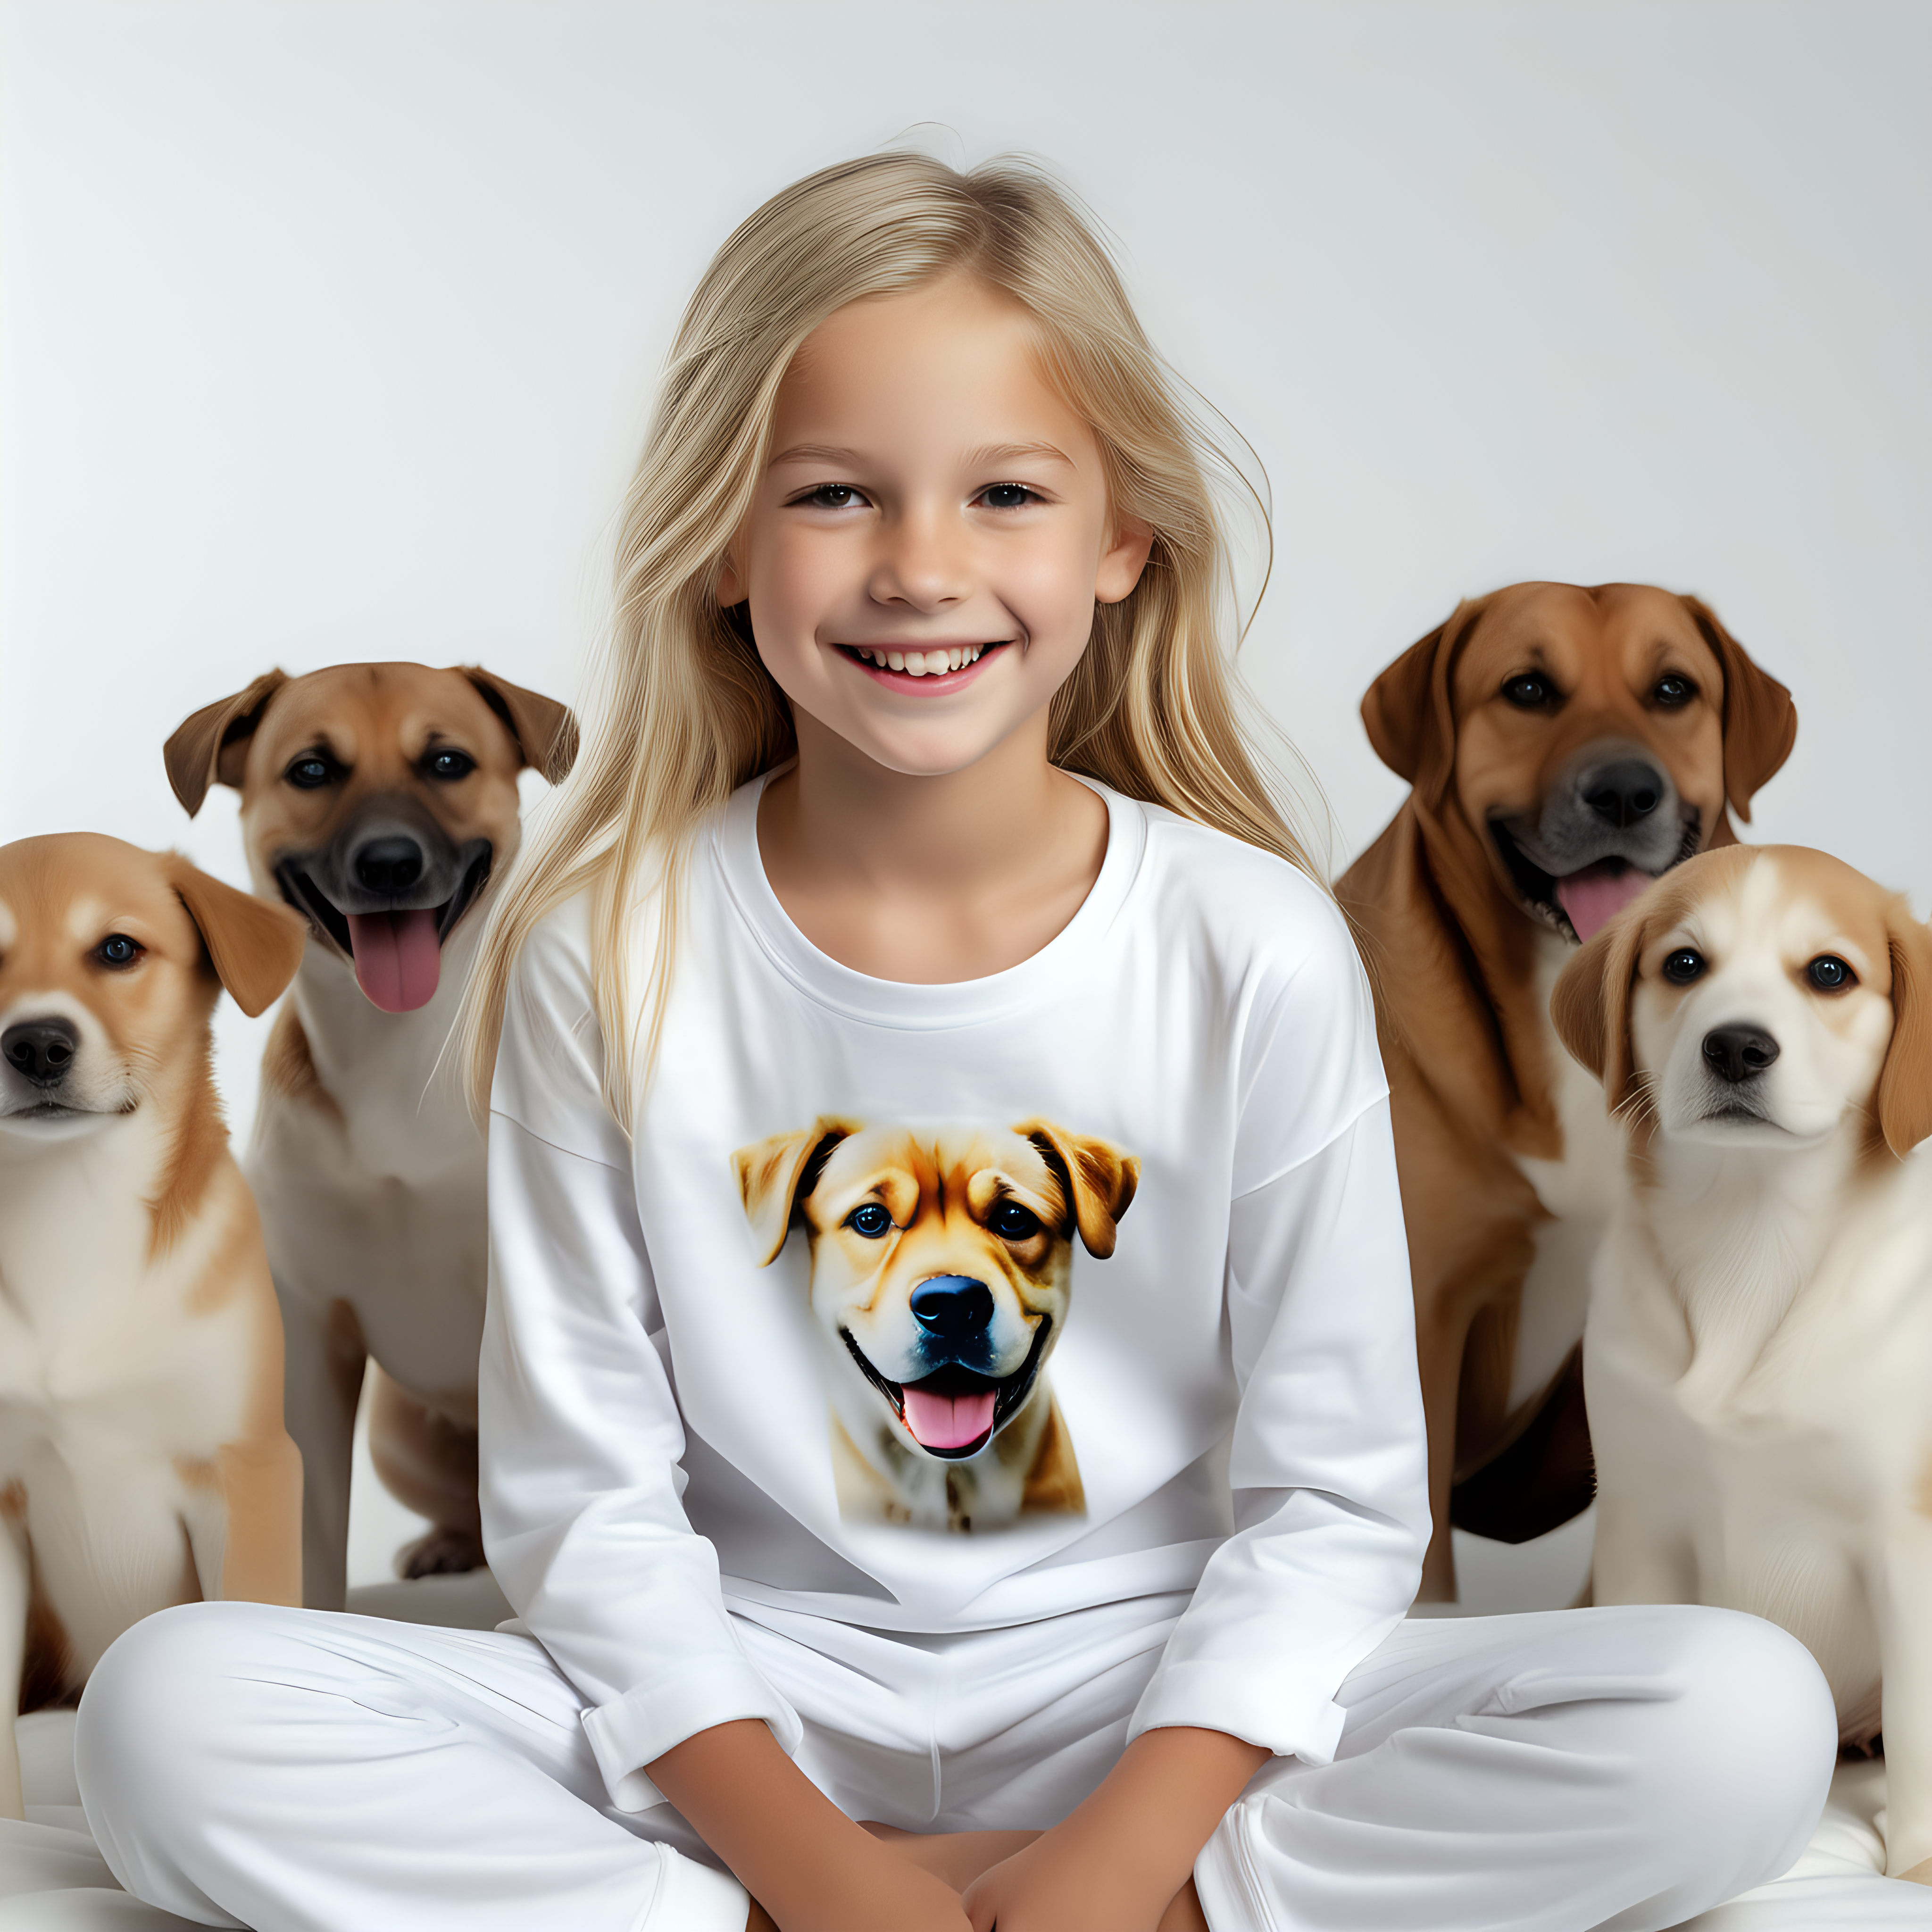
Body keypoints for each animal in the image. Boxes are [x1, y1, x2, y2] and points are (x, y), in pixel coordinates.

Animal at [167, 657, 575, 1607]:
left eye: (448, 762)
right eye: (312, 770)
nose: (390, 863)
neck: (398, 1053)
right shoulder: (312, 1341)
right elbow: (310, 1530)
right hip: (398, 1437)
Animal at [1545, 846, 1932, 1870]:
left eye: (1829, 972)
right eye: (1683, 964)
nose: (1736, 1048)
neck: (1751, 1234)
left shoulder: (1906, 1543)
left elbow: (1922, 1732)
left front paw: (1915, 1865)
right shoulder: (1638, 1526)